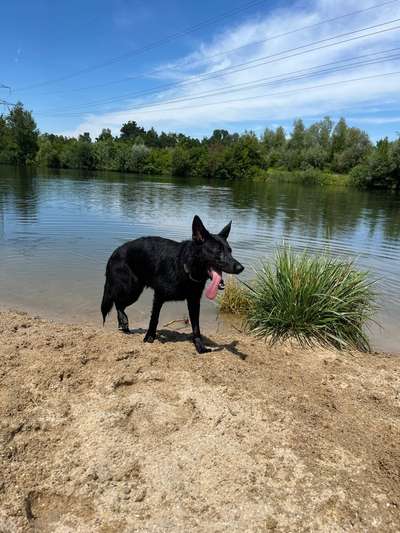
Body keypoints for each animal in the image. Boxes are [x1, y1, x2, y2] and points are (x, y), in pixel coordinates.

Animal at [101, 214, 244, 352]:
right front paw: (149, 337)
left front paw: (200, 346)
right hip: (131, 290)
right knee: (117, 301)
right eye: (218, 251)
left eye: (230, 251)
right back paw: (123, 321)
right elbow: (154, 319)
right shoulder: (158, 297)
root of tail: (115, 252)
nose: (240, 268)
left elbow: (196, 326)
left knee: (119, 304)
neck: (185, 267)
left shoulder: (194, 302)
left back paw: (123, 323)